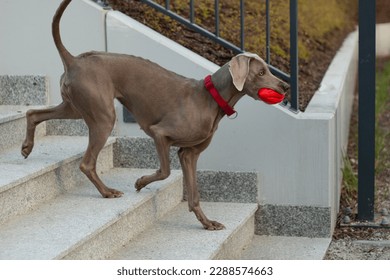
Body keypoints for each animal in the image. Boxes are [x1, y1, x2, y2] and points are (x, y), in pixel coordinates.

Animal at [22, 0, 290, 230]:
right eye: (261, 72)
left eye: (268, 70)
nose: (286, 86)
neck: (211, 98)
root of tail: (74, 60)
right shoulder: (160, 133)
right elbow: (165, 171)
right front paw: (140, 182)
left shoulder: (189, 154)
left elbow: (194, 195)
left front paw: (207, 223)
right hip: (103, 117)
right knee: (87, 163)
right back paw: (107, 191)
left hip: (77, 107)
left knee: (33, 112)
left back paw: (26, 147)